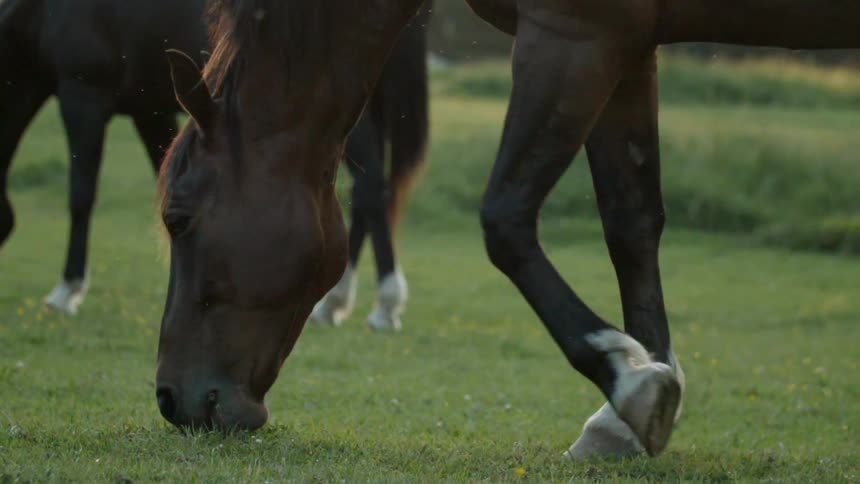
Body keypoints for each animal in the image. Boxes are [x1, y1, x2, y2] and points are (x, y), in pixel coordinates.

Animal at [0, 0, 429, 325]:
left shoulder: (83, 94)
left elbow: (81, 195)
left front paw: (68, 289)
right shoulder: (150, 110)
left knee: (371, 188)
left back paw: (386, 301)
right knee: (365, 194)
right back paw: (336, 302)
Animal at [153, 0, 859, 460]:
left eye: (177, 219)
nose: (170, 400)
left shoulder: (574, 36)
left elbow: (505, 221)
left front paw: (627, 381)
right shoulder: (627, 46)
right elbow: (631, 222)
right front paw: (628, 408)